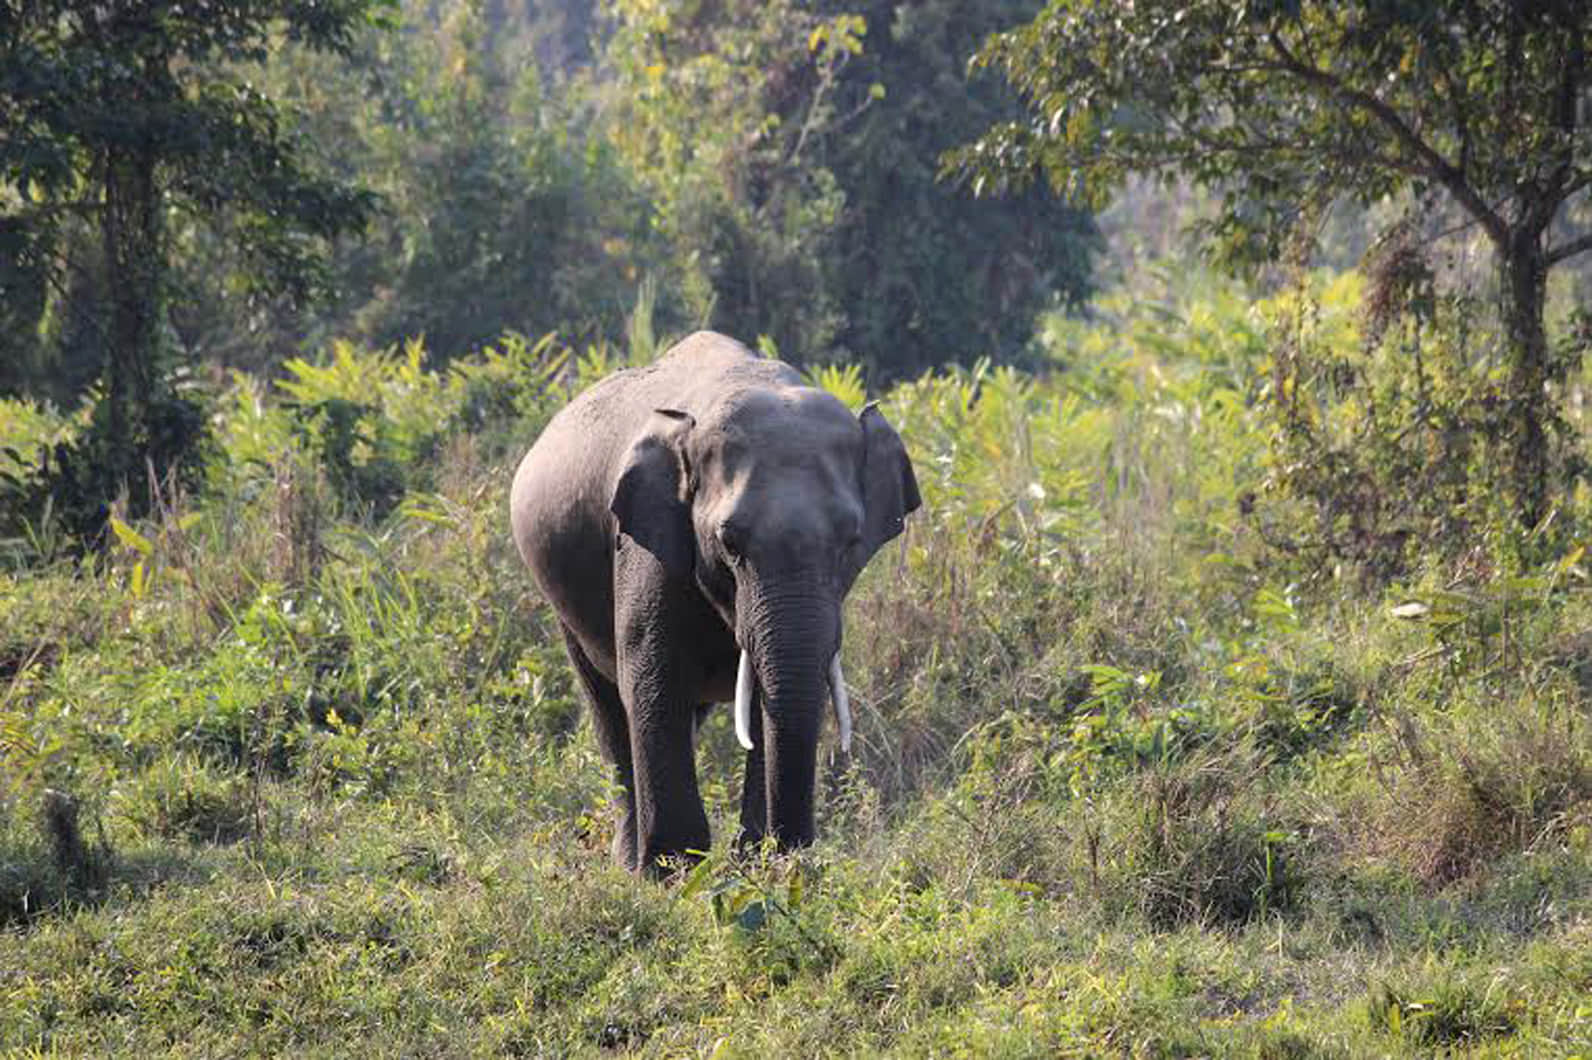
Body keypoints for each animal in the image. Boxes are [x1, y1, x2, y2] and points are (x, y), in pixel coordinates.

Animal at [509, 331, 920, 874]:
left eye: (850, 540)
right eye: (729, 541)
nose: (795, 852)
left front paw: (757, 866)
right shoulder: (646, 542)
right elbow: (653, 681)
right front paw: (674, 872)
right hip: (563, 605)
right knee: (609, 707)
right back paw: (629, 861)